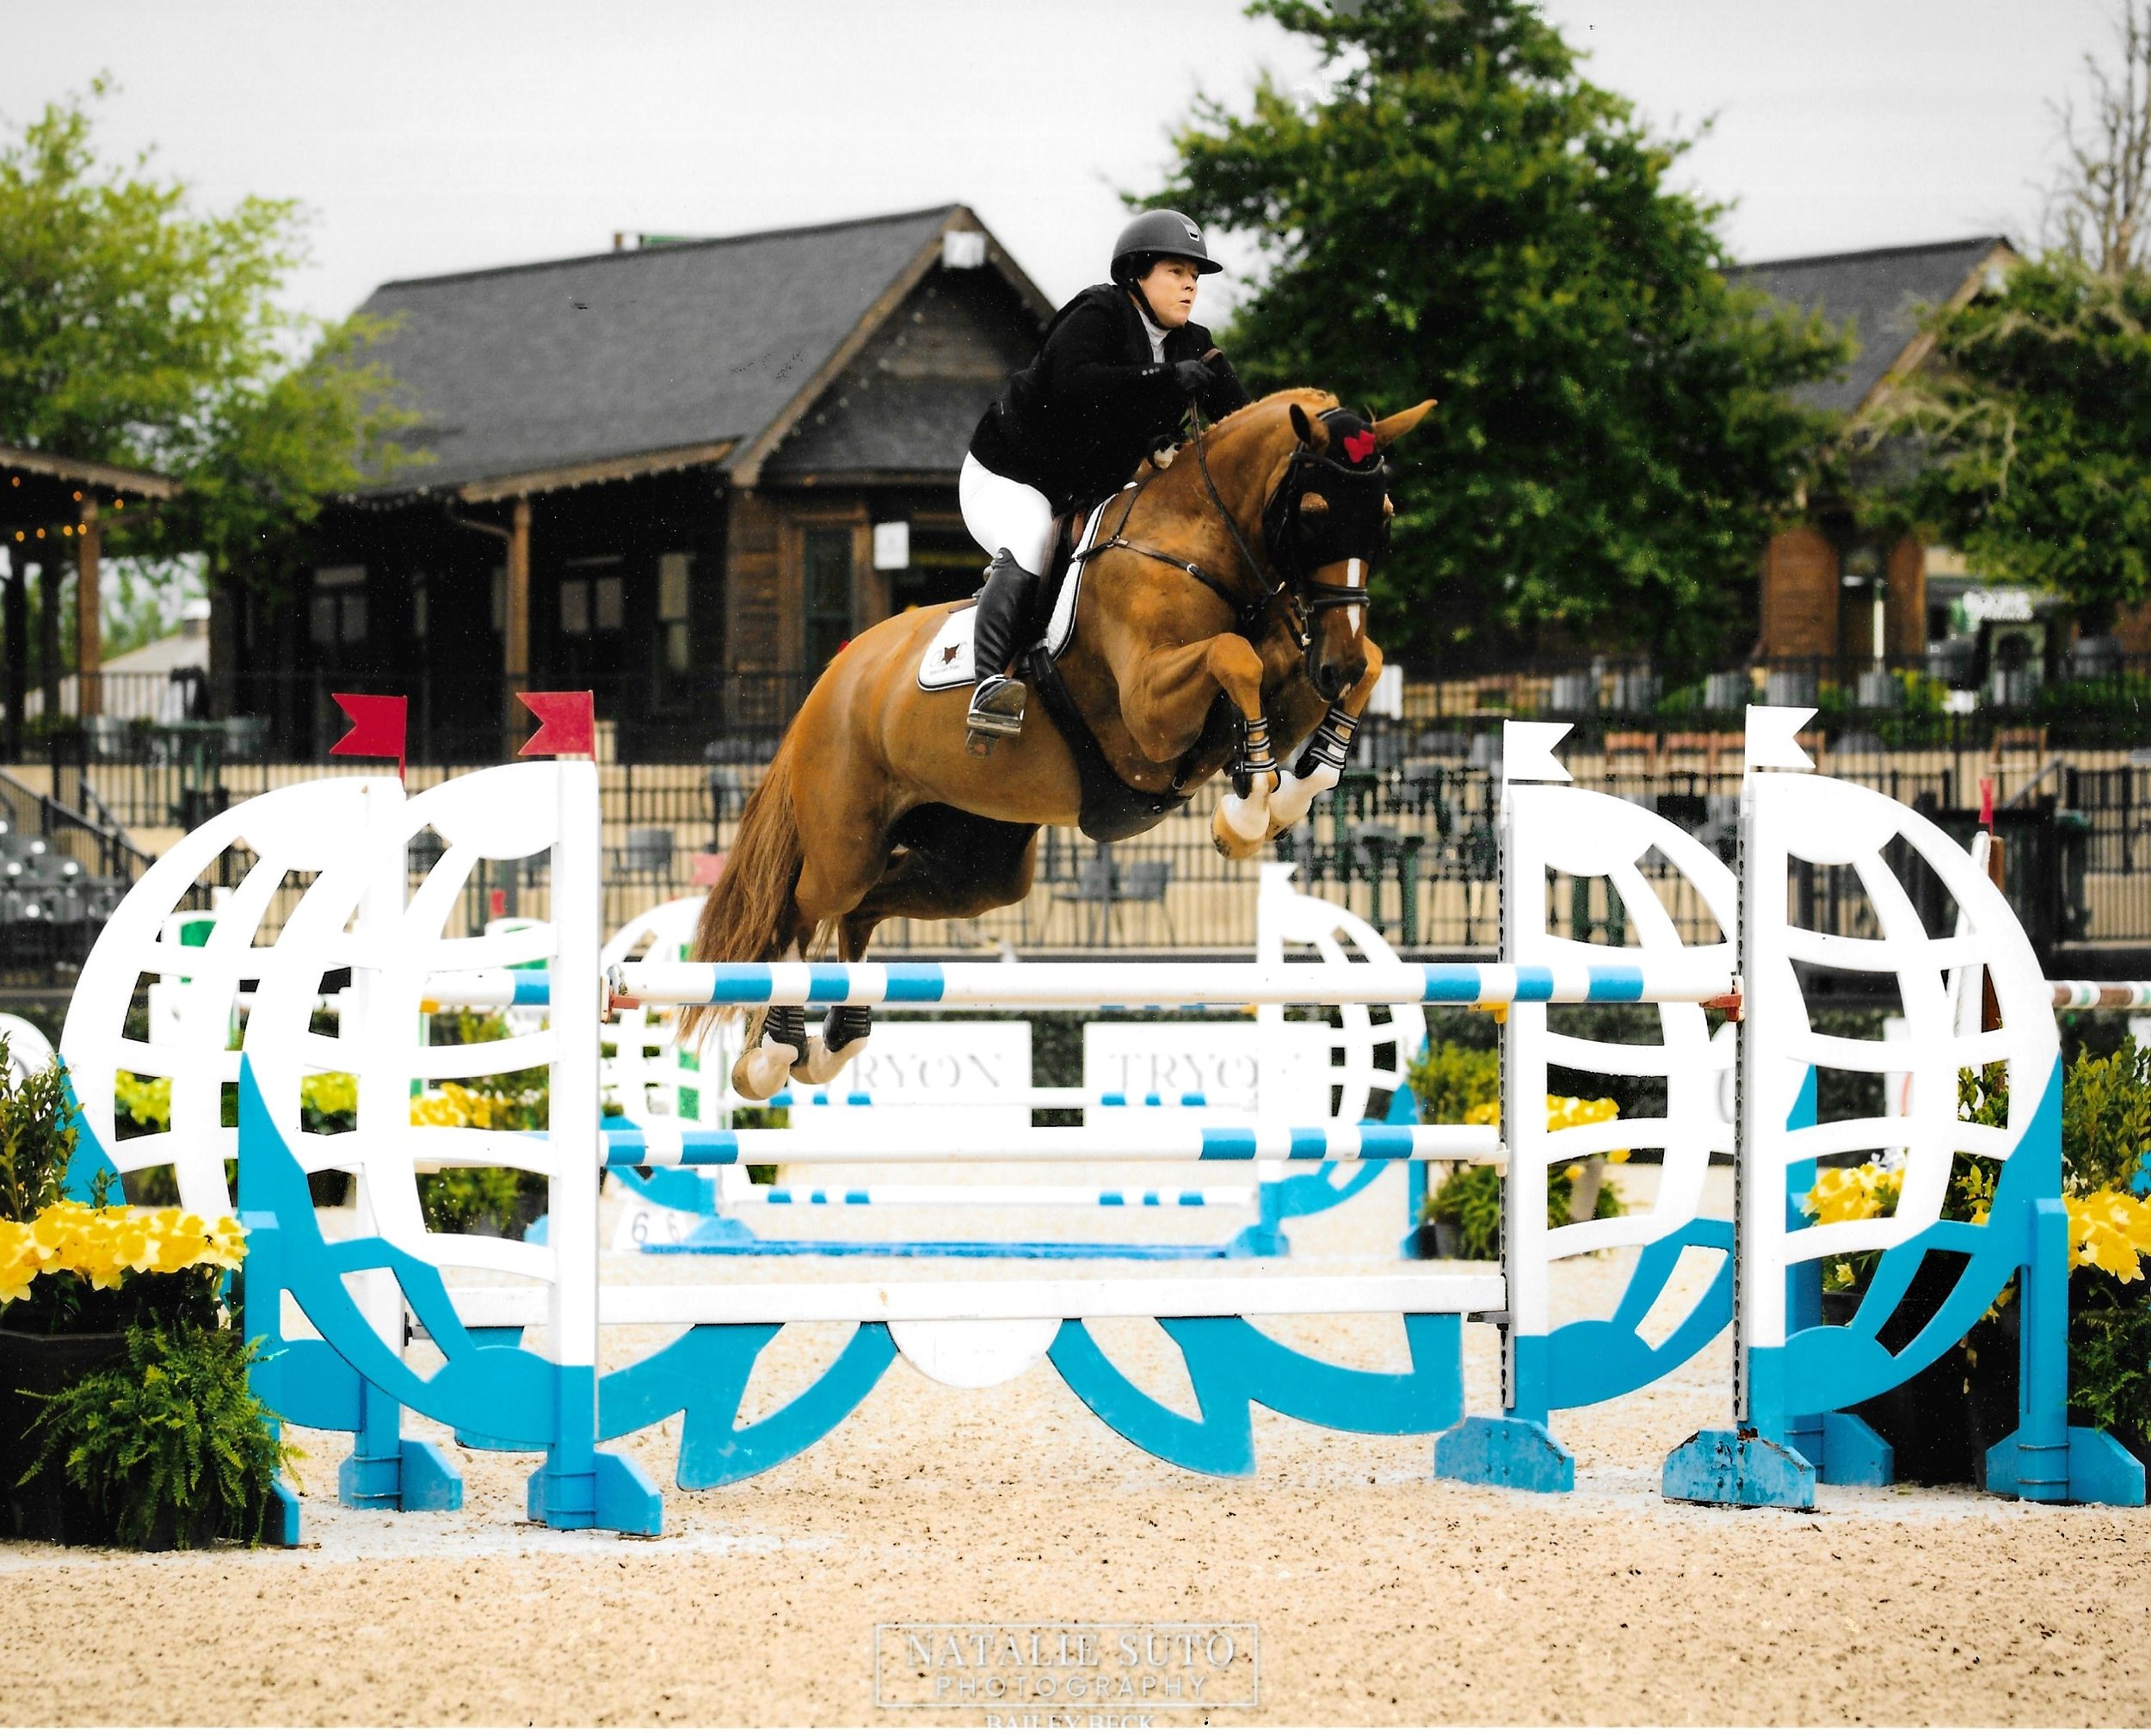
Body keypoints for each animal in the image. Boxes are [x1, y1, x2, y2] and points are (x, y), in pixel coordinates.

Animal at [688, 393, 1428, 1101]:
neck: (1199, 551)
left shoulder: (1293, 674)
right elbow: (1232, 656)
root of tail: (830, 681)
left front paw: (1287, 792)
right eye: (1313, 515)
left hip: (977, 871)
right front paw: (1246, 815)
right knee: (802, 910)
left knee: (864, 909)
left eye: (1386, 519)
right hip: (847, 841)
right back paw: (773, 1055)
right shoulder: (1150, 714)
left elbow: (1357, 666)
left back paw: (837, 1040)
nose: (1333, 661)